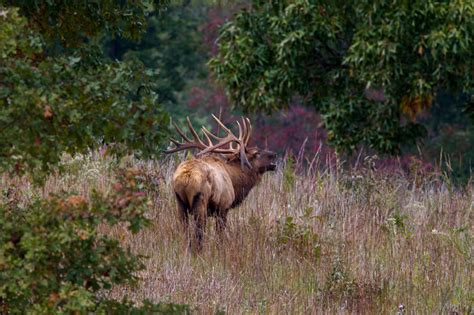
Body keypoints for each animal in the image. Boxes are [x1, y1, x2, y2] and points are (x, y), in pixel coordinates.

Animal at [164, 116, 278, 252]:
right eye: (256, 153)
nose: (274, 154)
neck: (235, 181)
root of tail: (186, 177)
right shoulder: (224, 206)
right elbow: (220, 236)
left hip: (180, 202)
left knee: (185, 232)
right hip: (200, 201)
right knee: (199, 233)